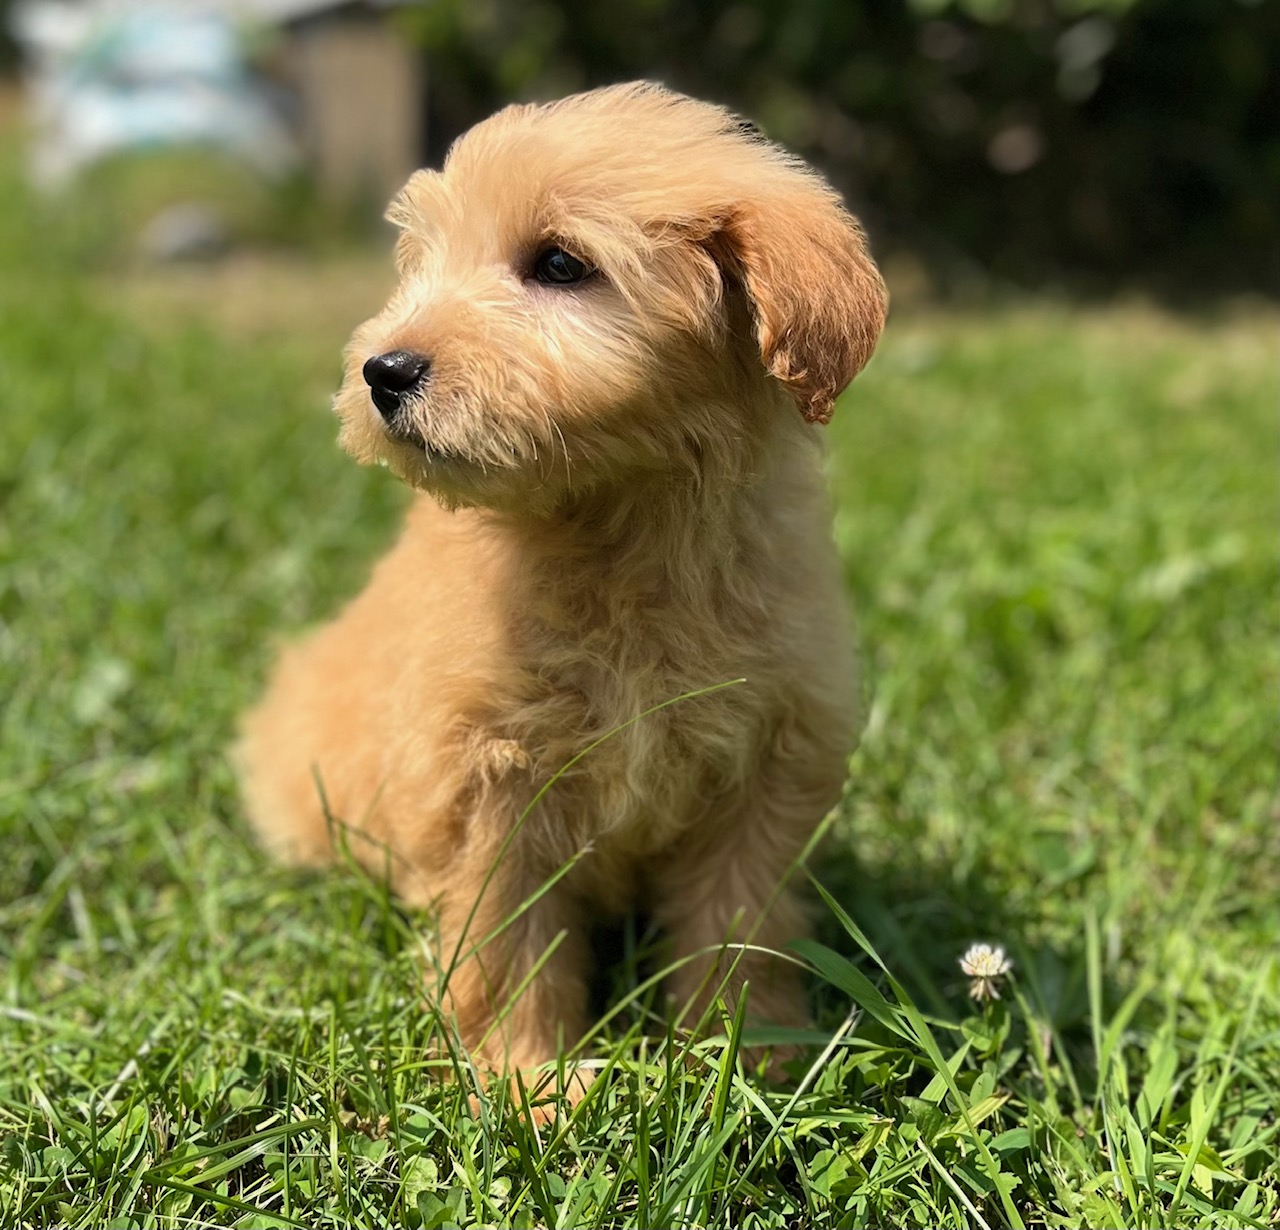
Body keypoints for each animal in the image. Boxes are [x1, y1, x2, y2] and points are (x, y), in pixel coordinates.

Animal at [235, 81, 885, 1110]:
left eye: (558, 264)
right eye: (425, 261)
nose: (384, 370)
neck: (615, 529)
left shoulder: (769, 771)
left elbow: (739, 925)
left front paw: (744, 1059)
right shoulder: (485, 785)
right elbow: (508, 948)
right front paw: (528, 1085)